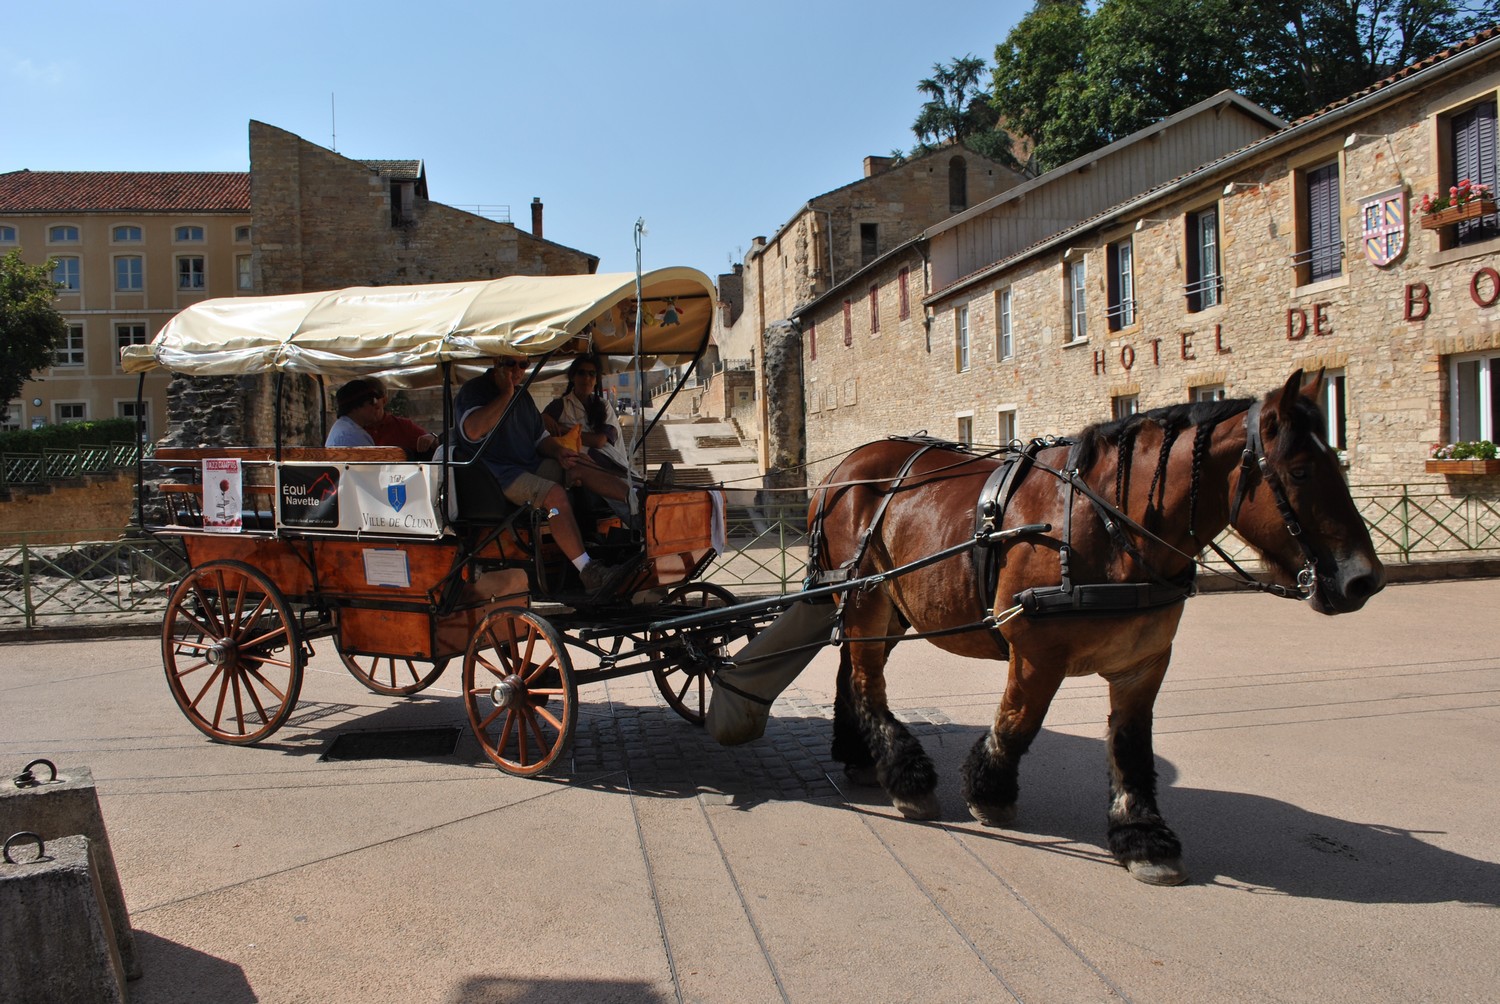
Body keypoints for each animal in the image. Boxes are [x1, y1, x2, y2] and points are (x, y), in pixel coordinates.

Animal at [816, 372, 1386, 882]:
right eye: (1300, 470)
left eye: (1335, 461)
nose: (1364, 579)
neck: (1107, 525)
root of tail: (839, 471)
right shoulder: (1035, 654)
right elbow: (1018, 724)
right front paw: (988, 793)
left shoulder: (1145, 661)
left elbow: (1131, 746)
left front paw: (1142, 836)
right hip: (866, 597)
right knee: (867, 681)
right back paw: (905, 776)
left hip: (890, 609)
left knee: (851, 672)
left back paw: (859, 755)